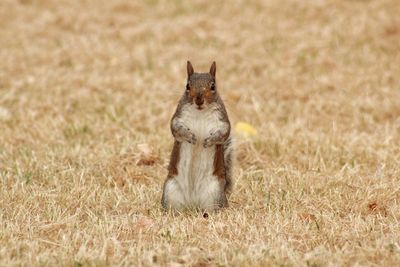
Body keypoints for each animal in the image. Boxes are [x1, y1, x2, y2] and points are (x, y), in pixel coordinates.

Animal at [161, 61, 233, 213]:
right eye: (187, 86)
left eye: (213, 86)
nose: (199, 100)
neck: (200, 112)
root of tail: (192, 203)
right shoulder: (178, 117)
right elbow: (175, 128)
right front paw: (189, 136)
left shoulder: (223, 121)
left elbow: (224, 133)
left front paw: (209, 140)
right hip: (170, 190)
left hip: (215, 193)